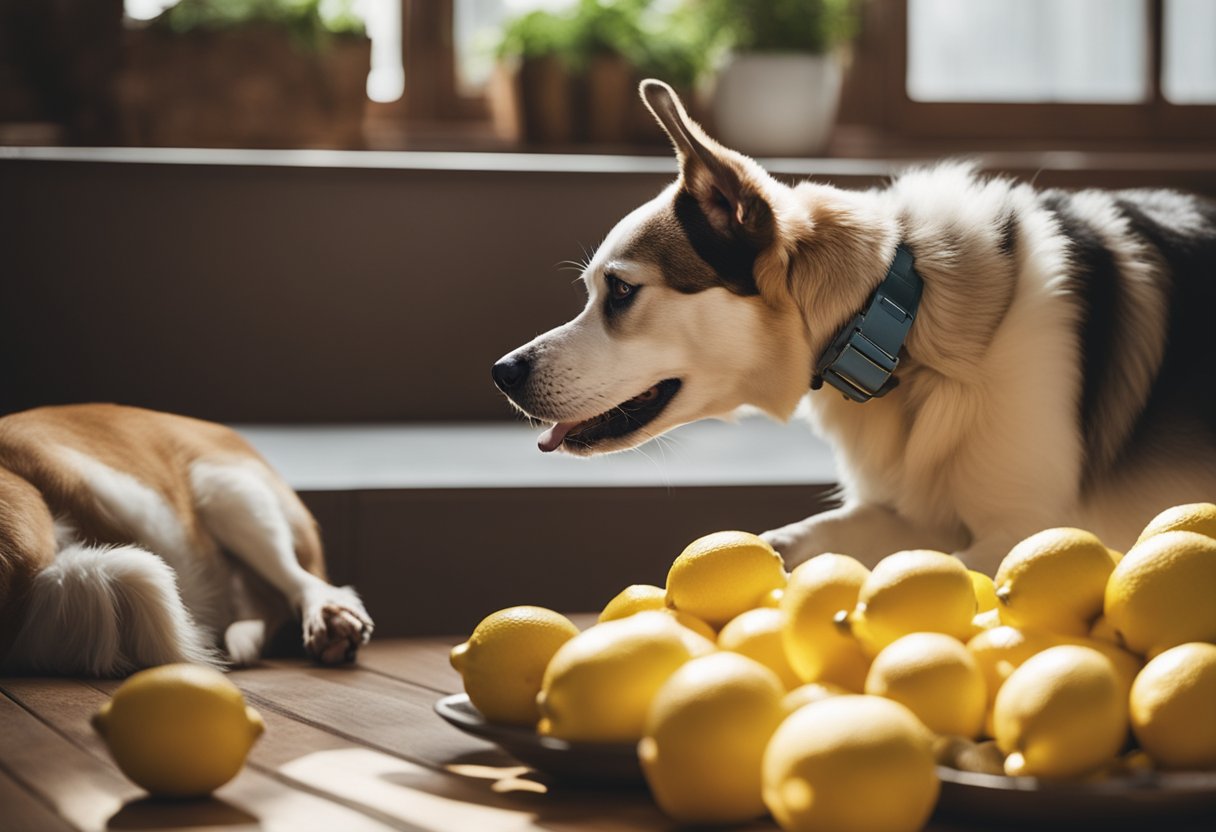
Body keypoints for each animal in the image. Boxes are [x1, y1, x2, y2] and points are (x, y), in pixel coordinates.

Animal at [491, 81, 1216, 574]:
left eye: (620, 291)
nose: (501, 372)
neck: (903, 323)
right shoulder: (911, 516)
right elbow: (806, 536)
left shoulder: (1024, 530)